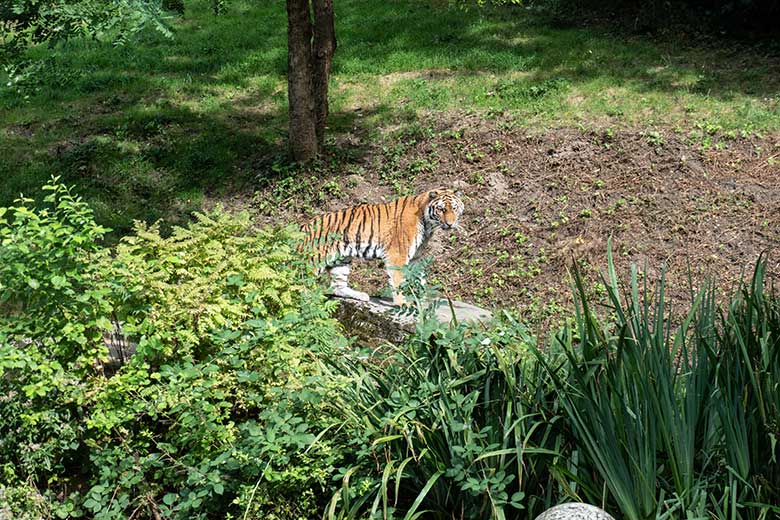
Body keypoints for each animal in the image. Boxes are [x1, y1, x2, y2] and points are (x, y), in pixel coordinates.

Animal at [302, 188, 464, 304]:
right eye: (441, 209)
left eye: (454, 208)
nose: (450, 224)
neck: (427, 223)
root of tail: (303, 227)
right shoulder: (397, 256)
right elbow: (398, 282)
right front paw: (403, 304)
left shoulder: (416, 257)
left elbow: (420, 278)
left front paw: (422, 301)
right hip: (313, 260)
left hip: (341, 260)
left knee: (338, 286)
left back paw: (360, 295)